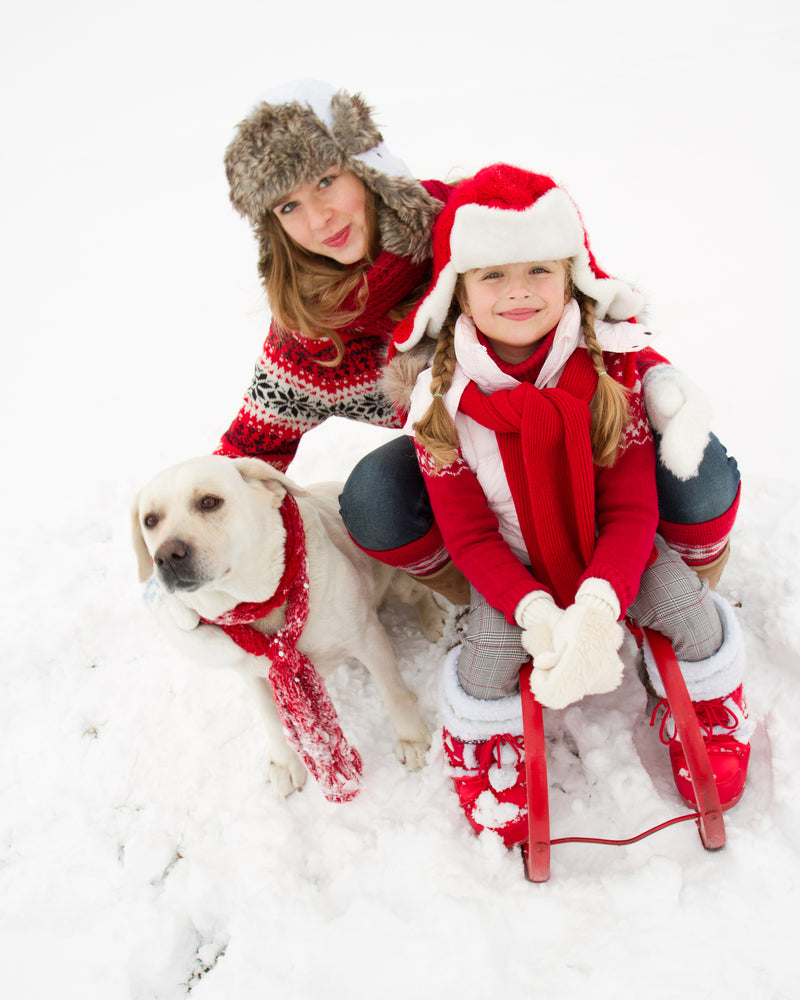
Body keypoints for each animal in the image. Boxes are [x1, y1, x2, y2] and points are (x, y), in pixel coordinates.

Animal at [131, 458, 444, 800]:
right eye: (150, 520)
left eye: (209, 502)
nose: (165, 557)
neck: (264, 607)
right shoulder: (255, 674)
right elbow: (271, 720)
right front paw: (284, 764)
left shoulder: (366, 638)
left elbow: (394, 693)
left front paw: (413, 739)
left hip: (402, 581)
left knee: (422, 592)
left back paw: (434, 620)